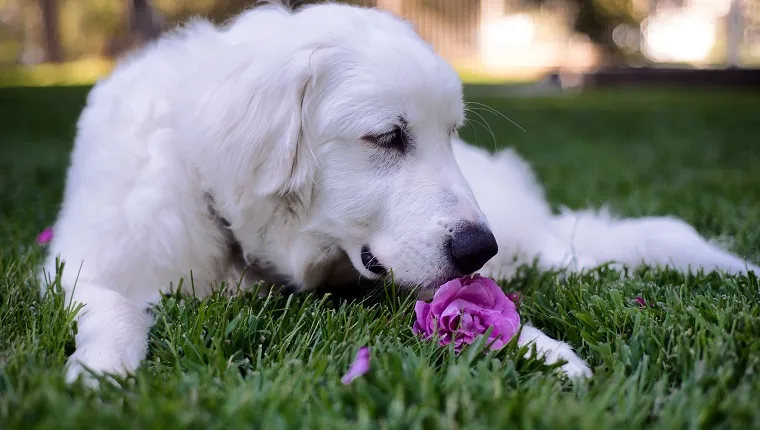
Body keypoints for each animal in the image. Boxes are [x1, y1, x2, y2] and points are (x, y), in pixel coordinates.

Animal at [40, 0, 756, 386]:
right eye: (387, 137)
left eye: (450, 134)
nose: (479, 247)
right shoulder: (82, 264)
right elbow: (117, 309)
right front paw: (100, 373)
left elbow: (473, 310)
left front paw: (547, 351)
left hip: (536, 244)